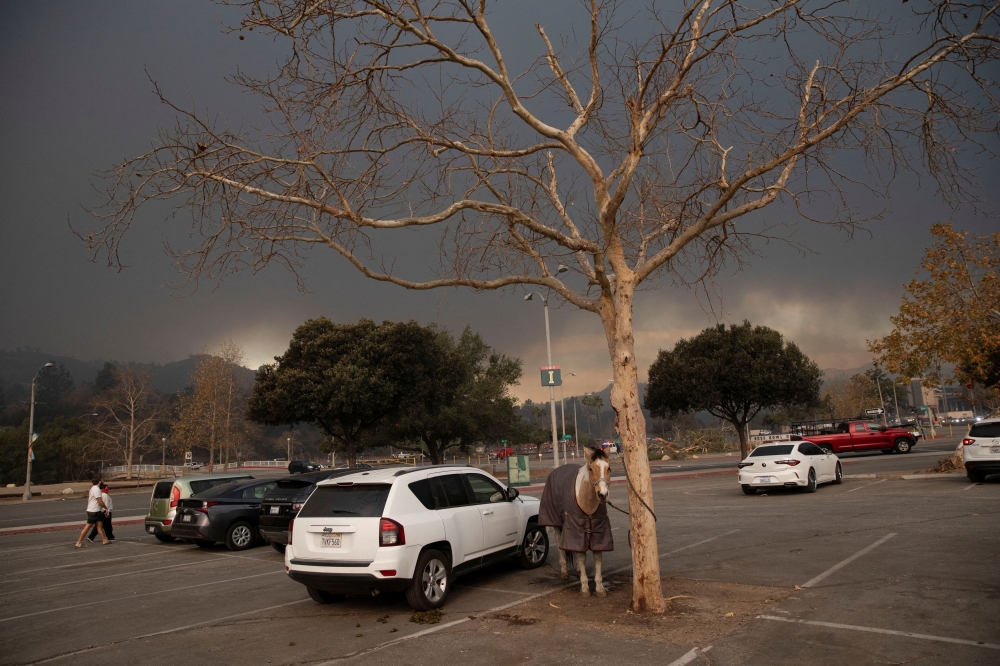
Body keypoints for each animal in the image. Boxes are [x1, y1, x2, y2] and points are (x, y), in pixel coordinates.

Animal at [536, 446, 612, 596]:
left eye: (608, 468)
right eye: (590, 468)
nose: (602, 495)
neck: (587, 502)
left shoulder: (598, 528)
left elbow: (597, 556)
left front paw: (599, 588)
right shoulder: (575, 528)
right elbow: (581, 557)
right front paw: (585, 587)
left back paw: (577, 570)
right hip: (558, 525)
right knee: (560, 544)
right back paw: (564, 572)